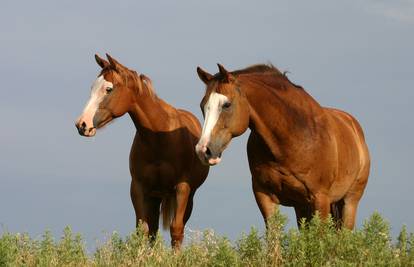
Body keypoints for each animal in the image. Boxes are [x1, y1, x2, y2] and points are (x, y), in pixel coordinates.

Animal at [75, 54, 209, 249]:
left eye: (108, 89)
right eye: (92, 87)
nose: (82, 124)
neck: (159, 137)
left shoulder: (182, 188)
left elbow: (176, 230)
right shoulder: (139, 188)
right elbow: (143, 230)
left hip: (187, 196)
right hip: (155, 197)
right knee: (153, 230)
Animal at [196, 63, 370, 229]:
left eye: (226, 104)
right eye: (202, 105)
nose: (203, 150)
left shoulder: (320, 199)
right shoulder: (265, 196)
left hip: (349, 201)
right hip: (302, 207)